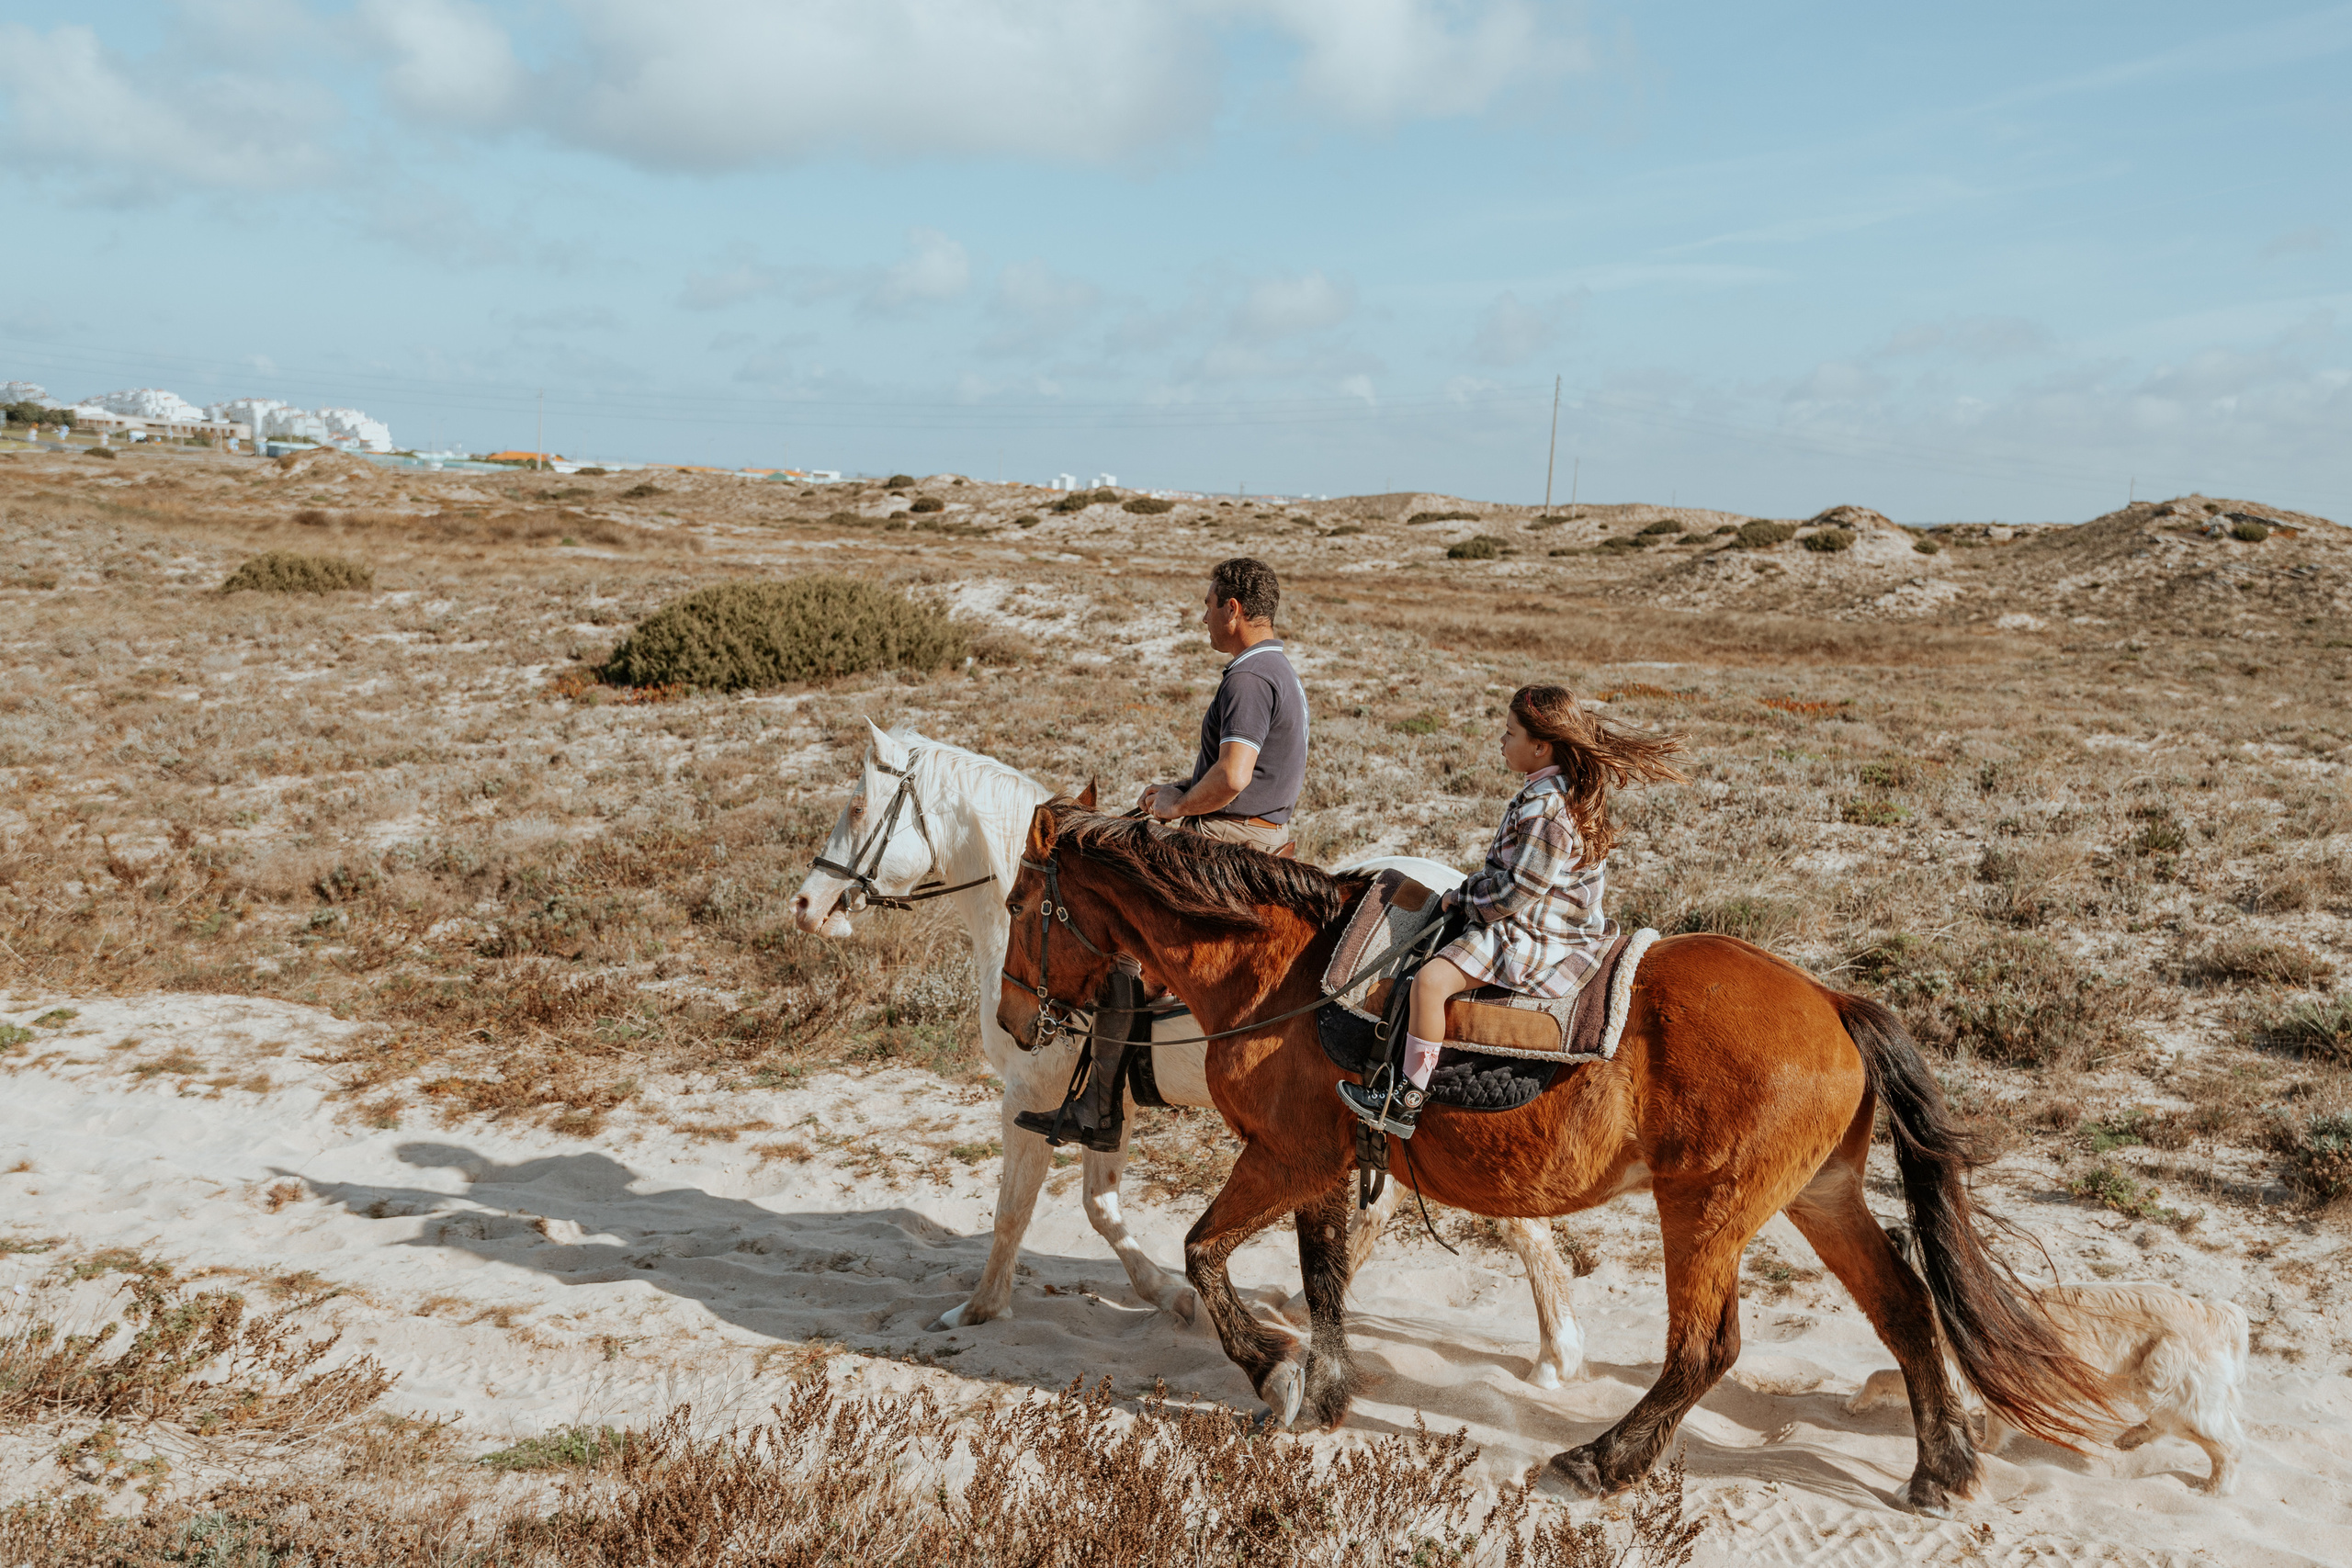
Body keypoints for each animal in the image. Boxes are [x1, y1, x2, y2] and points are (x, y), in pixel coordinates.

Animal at [790, 723, 1585, 1387]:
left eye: (857, 807)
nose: (805, 904)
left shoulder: (1033, 1096)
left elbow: (1016, 1212)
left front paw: (980, 1309)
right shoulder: (1106, 1100)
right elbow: (1101, 1204)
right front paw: (1175, 1297)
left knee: (1512, 1216)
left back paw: (1556, 1352)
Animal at [994, 800, 2112, 1514]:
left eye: (1017, 907)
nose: (1011, 1019)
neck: (1286, 974)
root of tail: (1833, 1002)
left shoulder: (1282, 1155)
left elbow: (1205, 1252)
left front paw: (1273, 1369)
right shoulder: (1317, 1163)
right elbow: (1322, 1277)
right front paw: (1322, 1387)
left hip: (1705, 1210)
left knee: (1705, 1350)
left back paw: (1600, 1462)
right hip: (1819, 1197)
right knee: (1908, 1310)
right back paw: (1942, 1469)